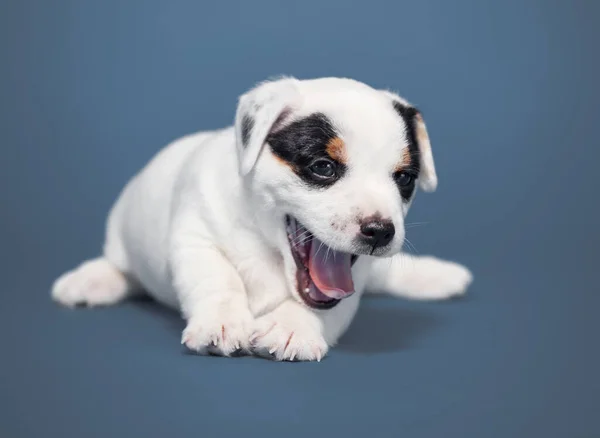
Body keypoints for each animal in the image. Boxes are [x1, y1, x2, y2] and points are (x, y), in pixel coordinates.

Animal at [51, 77, 474, 362]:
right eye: (323, 167)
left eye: (404, 178)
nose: (381, 231)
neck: (268, 246)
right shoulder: (195, 238)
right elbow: (218, 279)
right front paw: (222, 321)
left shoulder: (353, 281)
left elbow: (330, 304)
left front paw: (292, 326)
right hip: (122, 238)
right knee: (122, 268)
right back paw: (91, 280)